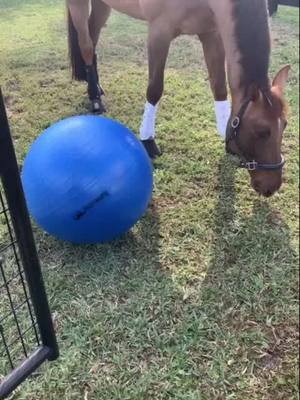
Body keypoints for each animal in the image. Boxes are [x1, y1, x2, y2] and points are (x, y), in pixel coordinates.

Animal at [67, 0, 290, 197]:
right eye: (262, 131)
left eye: (285, 125)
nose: (272, 186)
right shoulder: (159, 32)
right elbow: (155, 89)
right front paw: (148, 140)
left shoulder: (211, 34)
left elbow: (219, 87)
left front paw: (223, 132)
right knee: (86, 45)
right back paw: (95, 98)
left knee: (92, 38)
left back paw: (96, 88)